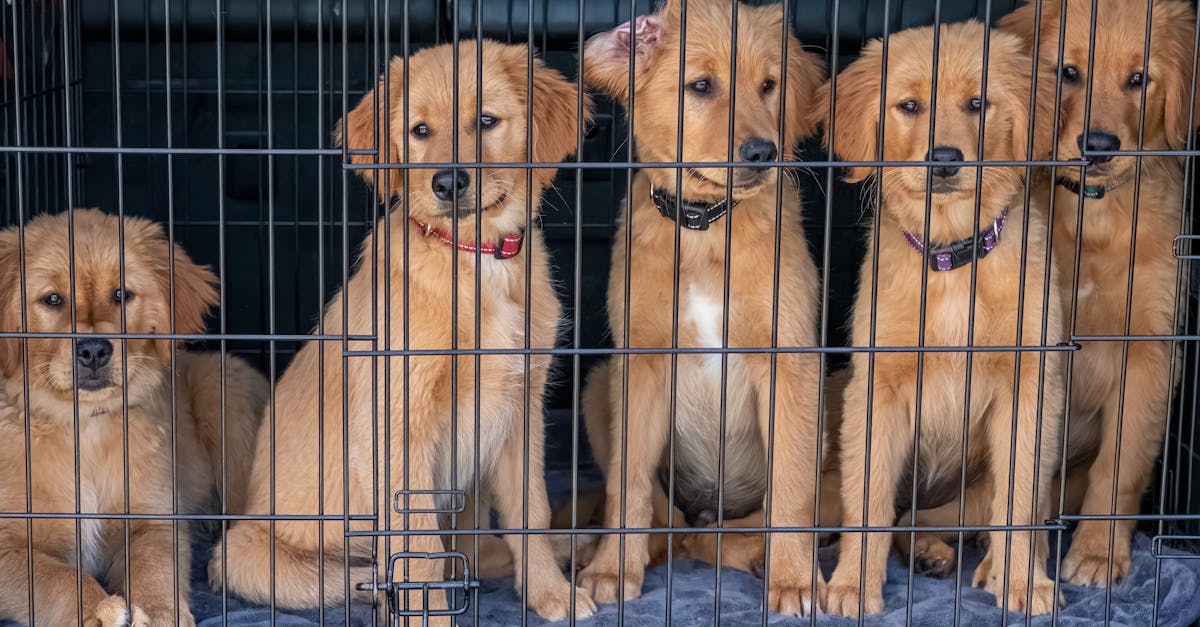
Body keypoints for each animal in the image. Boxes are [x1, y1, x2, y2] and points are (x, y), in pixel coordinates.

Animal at [0, 207, 267, 619]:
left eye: (121, 294)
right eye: (53, 299)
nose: (94, 350)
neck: (85, 425)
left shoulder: (153, 520)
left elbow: (153, 567)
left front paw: (159, 612)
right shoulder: (7, 542)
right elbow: (55, 577)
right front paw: (97, 610)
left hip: (223, 389)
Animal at [213, 40, 597, 619]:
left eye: (487, 120)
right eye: (419, 130)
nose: (448, 182)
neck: (474, 259)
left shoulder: (521, 411)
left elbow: (531, 513)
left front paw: (552, 594)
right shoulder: (398, 424)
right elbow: (422, 553)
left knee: (474, 552)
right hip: (254, 558)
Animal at [578, 0, 825, 614]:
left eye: (769, 85)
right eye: (701, 86)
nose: (763, 153)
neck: (705, 229)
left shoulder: (790, 361)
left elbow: (790, 488)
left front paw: (795, 579)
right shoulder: (640, 362)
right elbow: (627, 483)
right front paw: (612, 568)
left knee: (727, 535)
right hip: (598, 384)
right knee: (670, 522)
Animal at [820, 21, 1065, 612]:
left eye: (977, 103)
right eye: (910, 106)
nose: (945, 158)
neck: (951, 257)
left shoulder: (1030, 385)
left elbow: (1019, 500)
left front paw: (1023, 580)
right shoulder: (877, 386)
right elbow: (869, 499)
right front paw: (852, 583)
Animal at [988, 0, 1195, 586]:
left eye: (1139, 79)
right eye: (1069, 72)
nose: (1098, 148)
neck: (1094, 212)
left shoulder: (1151, 349)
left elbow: (1120, 466)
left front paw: (1098, 554)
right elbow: (1023, 475)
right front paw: (1015, 564)